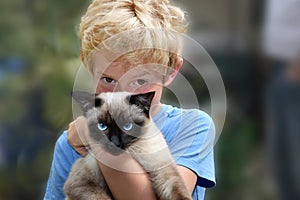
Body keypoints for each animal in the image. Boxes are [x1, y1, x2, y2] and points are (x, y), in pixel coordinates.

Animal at [63, 91, 192, 199]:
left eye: (127, 126)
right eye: (102, 126)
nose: (115, 143)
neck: (134, 154)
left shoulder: (162, 169)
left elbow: (178, 191)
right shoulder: (81, 184)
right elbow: (101, 198)